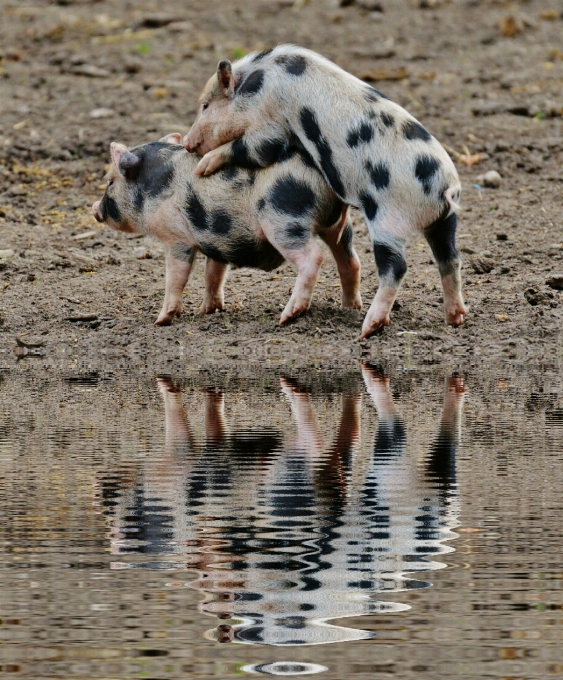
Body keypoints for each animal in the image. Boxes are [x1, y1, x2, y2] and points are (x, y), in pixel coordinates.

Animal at [91, 135, 362, 326]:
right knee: (350, 260)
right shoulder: (217, 237)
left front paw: (160, 321)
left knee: (313, 257)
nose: (94, 208)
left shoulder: (176, 237)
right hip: (338, 226)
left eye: (110, 182)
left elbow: (176, 276)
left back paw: (287, 317)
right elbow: (214, 273)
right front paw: (207, 311)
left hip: (284, 220)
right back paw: (350, 308)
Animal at [185, 43, 468, 338]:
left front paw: (203, 167)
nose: (186, 143)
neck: (257, 82)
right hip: (445, 221)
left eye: (205, 106)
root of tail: (443, 188)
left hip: (388, 220)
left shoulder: (269, 122)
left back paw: (366, 328)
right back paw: (455, 319)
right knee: (451, 259)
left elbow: (258, 149)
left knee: (396, 266)